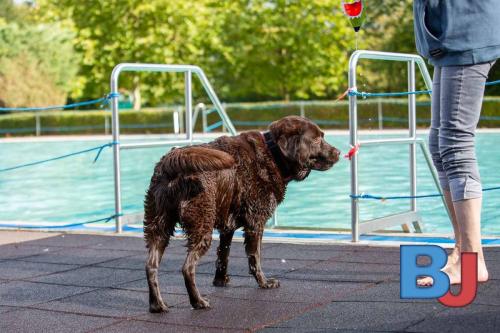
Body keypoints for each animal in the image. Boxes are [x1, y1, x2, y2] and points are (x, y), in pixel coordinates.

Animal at [143, 115, 342, 312]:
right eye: (316, 139)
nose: (339, 152)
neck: (273, 155)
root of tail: (172, 160)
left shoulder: (227, 227)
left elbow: (223, 254)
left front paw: (220, 281)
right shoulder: (256, 223)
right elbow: (255, 256)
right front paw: (264, 283)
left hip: (158, 226)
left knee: (150, 266)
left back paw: (157, 305)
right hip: (201, 225)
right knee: (187, 267)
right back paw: (198, 301)